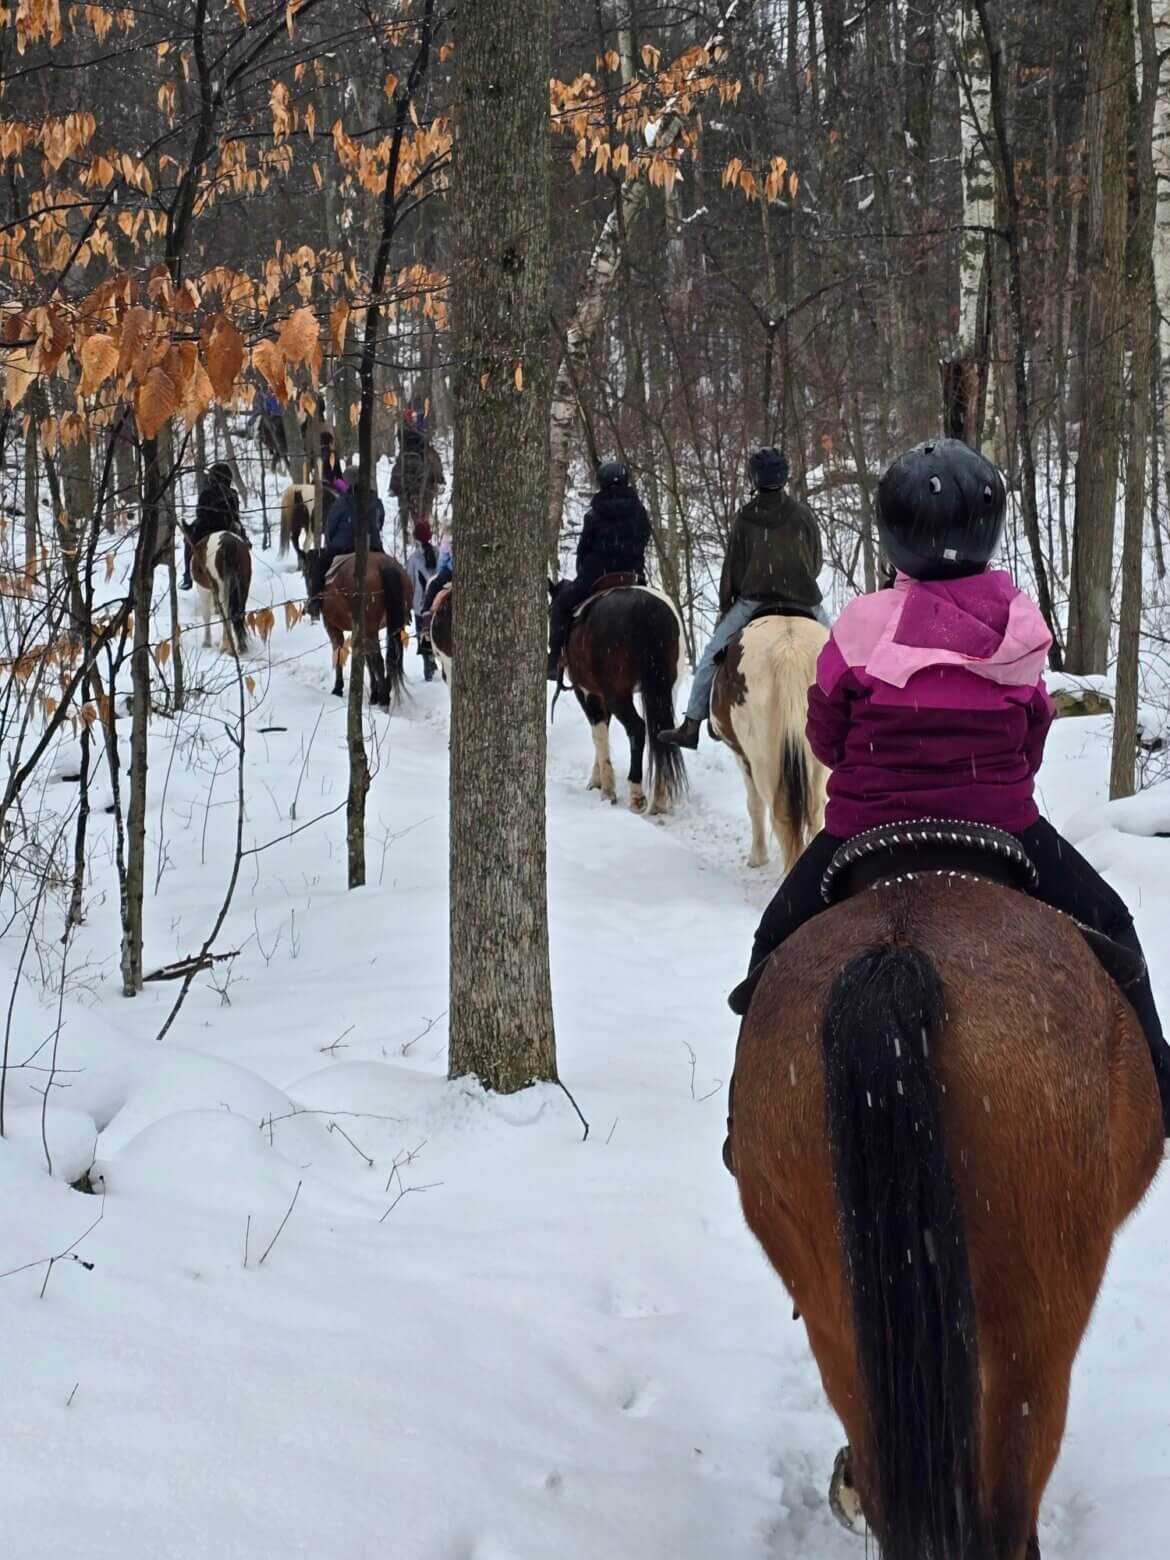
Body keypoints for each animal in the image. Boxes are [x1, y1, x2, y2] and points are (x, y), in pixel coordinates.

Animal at [188, 527, 251, 655]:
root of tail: (230, 545)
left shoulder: (204, 590)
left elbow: (206, 615)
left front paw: (206, 642)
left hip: (223, 590)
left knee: (227, 614)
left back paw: (227, 647)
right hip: (243, 587)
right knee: (239, 613)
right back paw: (241, 646)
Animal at [549, 577, 686, 817]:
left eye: (550, 611)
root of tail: (647, 608)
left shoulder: (587, 693)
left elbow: (598, 734)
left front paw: (607, 790)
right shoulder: (602, 696)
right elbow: (602, 732)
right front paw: (597, 780)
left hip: (619, 694)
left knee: (637, 729)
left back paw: (637, 795)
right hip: (665, 691)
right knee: (660, 732)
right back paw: (659, 801)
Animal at [711, 608, 829, 873]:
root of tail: (789, 648)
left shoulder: (743, 757)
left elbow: (754, 804)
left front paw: (757, 857)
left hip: (764, 761)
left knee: (780, 814)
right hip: (818, 761)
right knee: (816, 808)